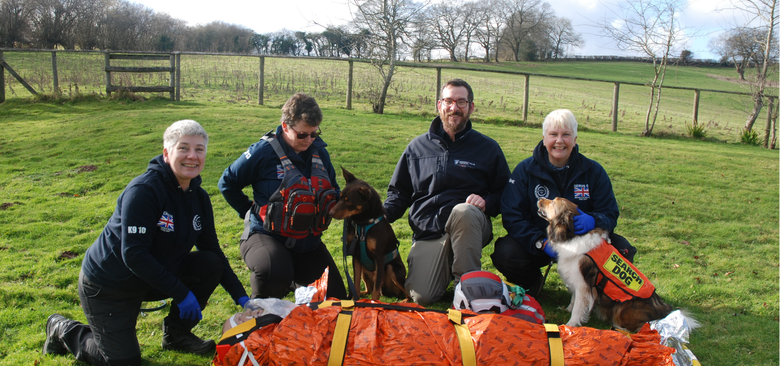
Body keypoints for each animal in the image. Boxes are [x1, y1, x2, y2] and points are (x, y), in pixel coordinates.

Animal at [330, 167, 414, 302]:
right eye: (340, 197)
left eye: (349, 201)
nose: (330, 213)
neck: (363, 224)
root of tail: (387, 293)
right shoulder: (356, 255)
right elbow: (356, 284)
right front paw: (355, 301)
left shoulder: (379, 257)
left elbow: (375, 290)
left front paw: (374, 303)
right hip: (365, 271)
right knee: (368, 289)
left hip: (393, 270)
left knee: (406, 293)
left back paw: (405, 301)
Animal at [536, 197, 696, 332]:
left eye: (552, 202)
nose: (539, 199)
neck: (573, 234)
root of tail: (664, 311)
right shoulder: (577, 280)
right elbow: (574, 299)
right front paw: (567, 309)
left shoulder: (583, 284)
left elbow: (578, 306)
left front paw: (571, 324)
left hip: (622, 310)